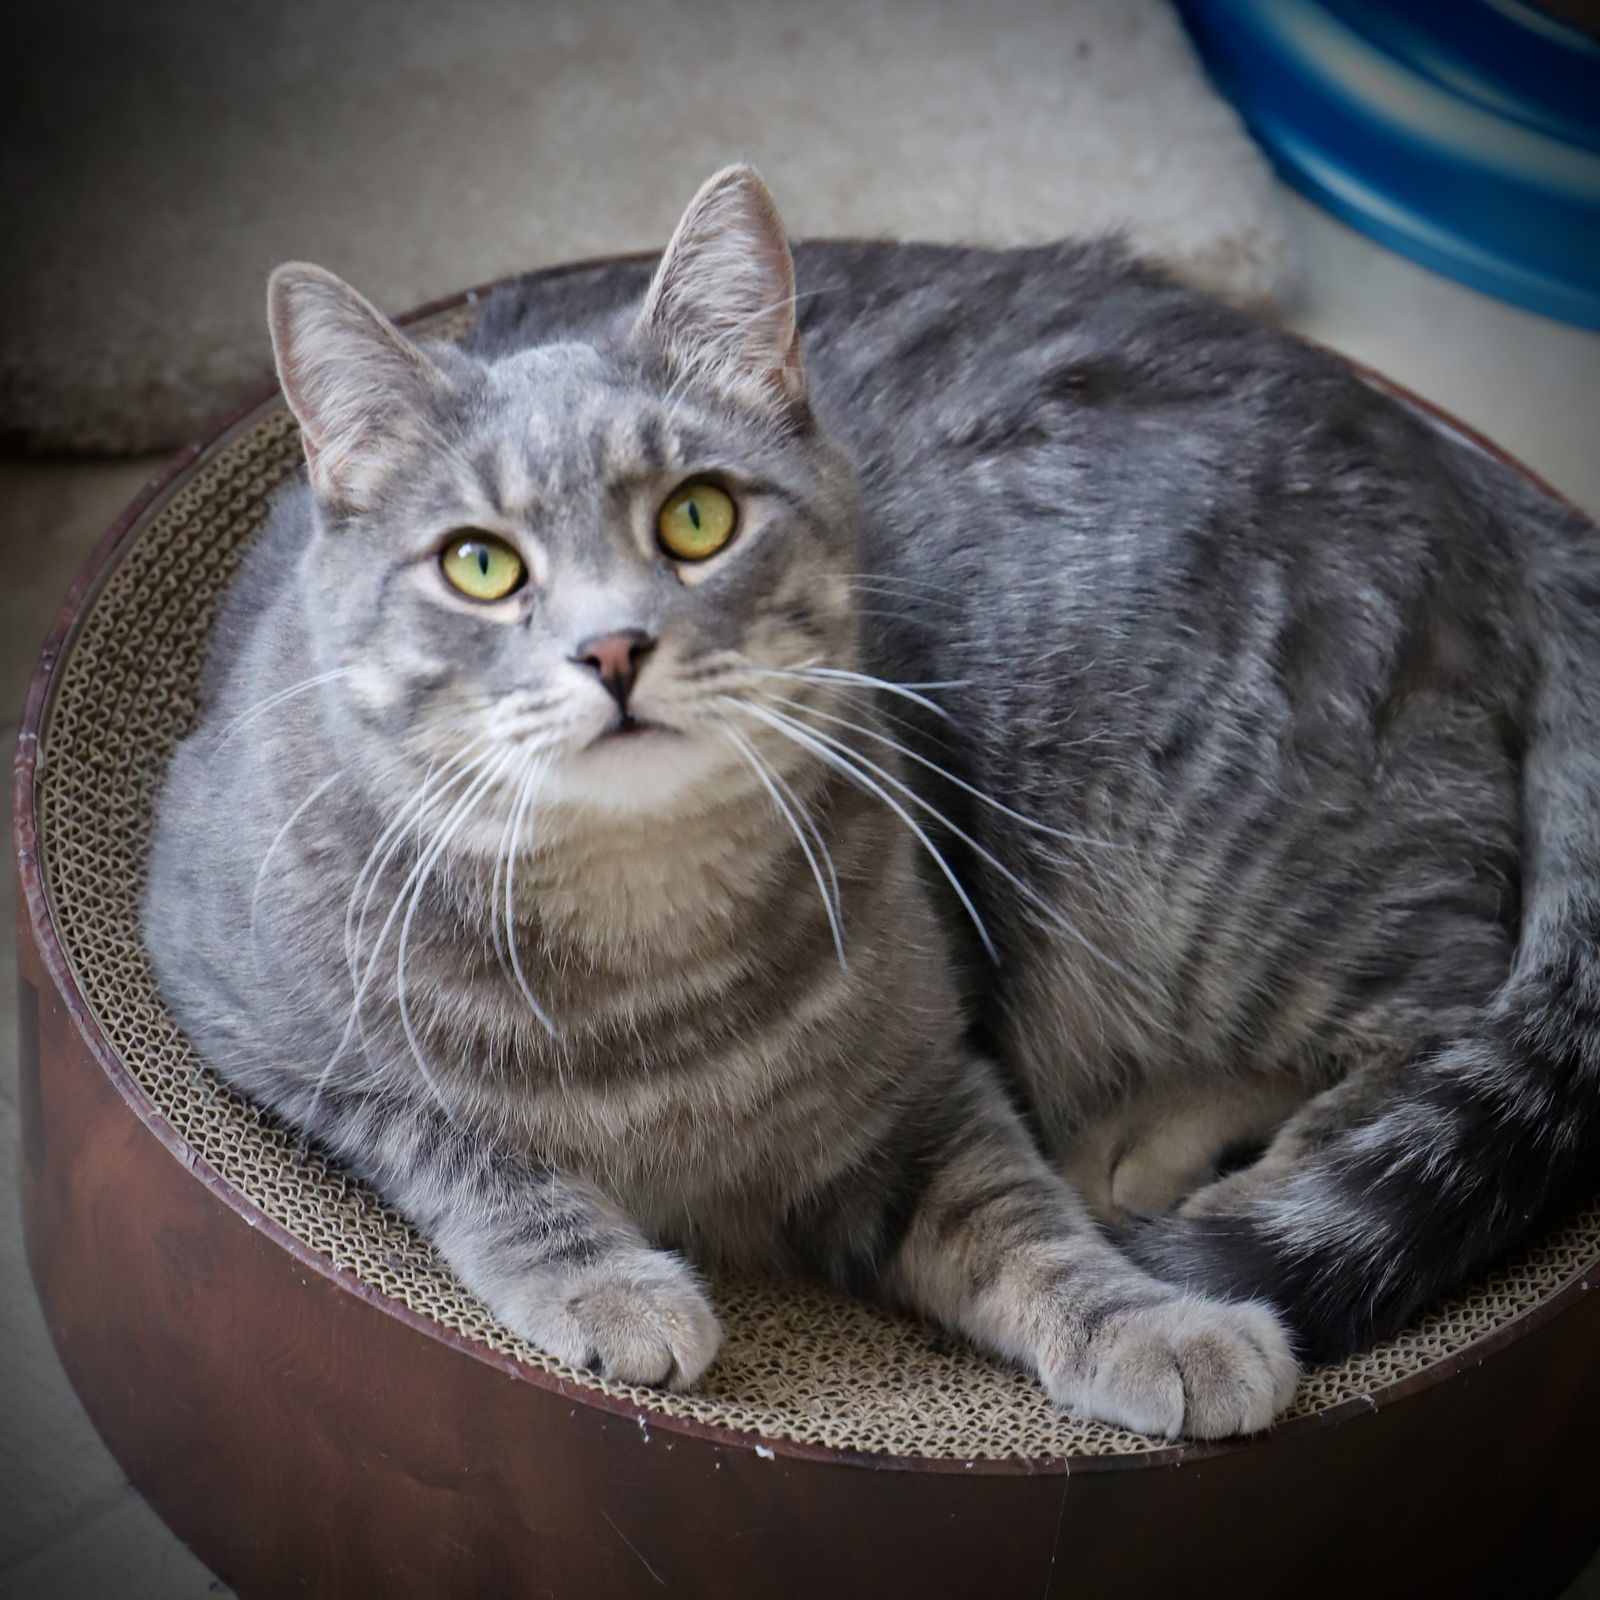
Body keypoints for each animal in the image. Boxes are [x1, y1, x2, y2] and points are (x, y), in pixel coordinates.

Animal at [140, 162, 1600, 1440]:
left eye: (697, 518)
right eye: (480, 565)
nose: (613, 648)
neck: (641, 953)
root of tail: (1465, 477)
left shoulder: (928, 1087)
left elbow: (1024, 1224)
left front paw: (1153, 1324)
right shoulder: (252, 1025)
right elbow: (464, 1143)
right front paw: (608, 1280)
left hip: (1219, 857)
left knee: (1444, 1012)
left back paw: (1183, 1167)